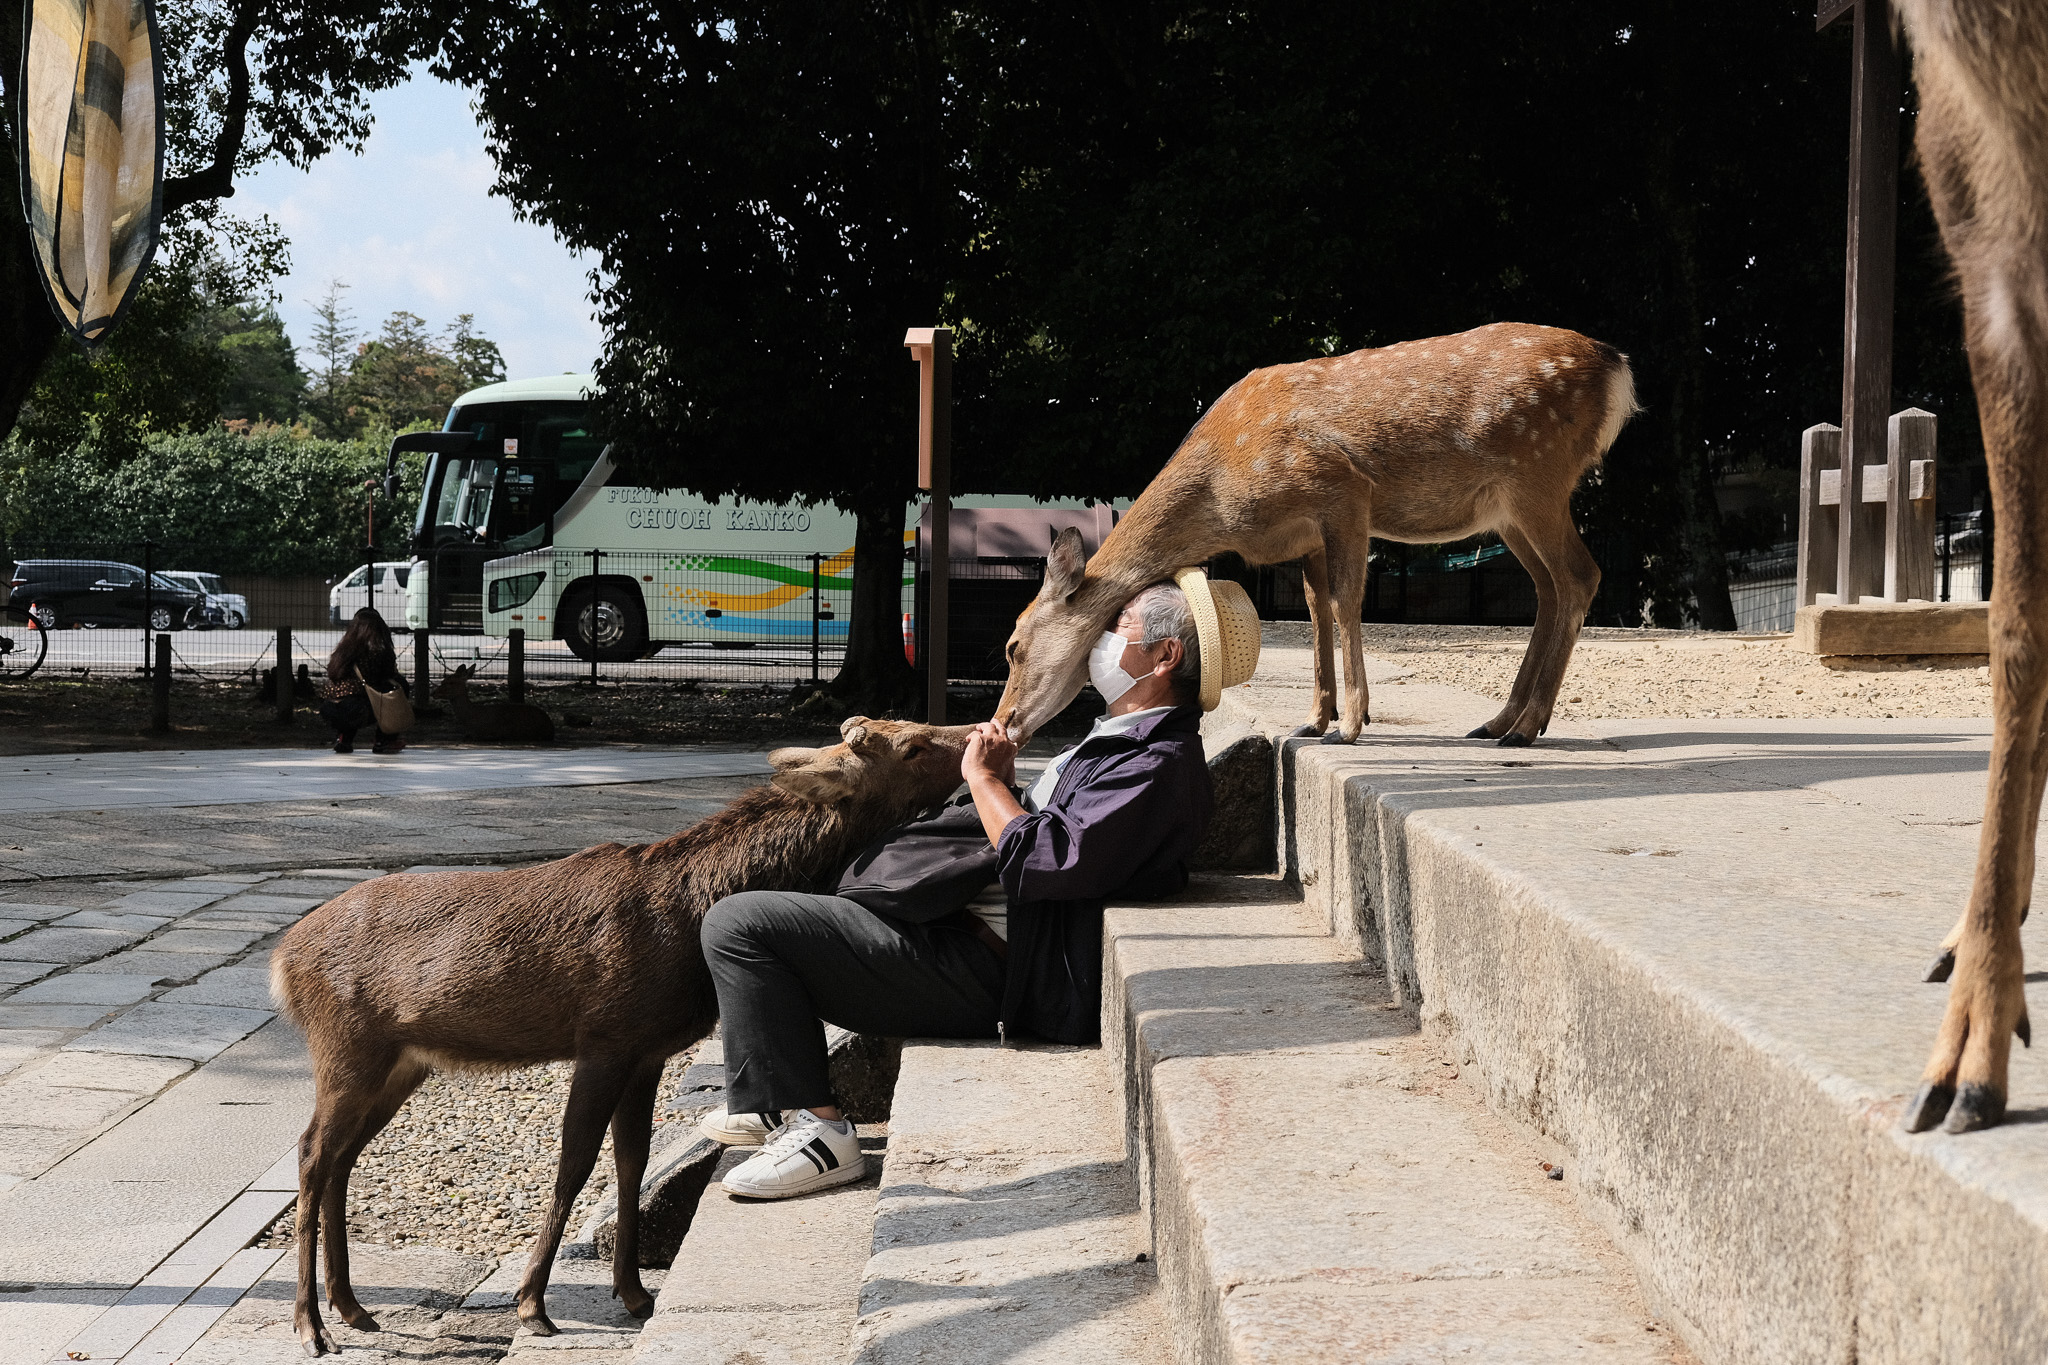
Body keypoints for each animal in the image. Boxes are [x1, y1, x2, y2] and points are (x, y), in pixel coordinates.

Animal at [270, 715, 974, 1355]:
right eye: (910, 746)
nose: (978, 733)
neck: (689, 921)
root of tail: (282, 961)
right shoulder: (606, 1035)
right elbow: (575, 1162)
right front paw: (533, 1305)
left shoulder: (648, 1050)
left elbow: (630, 1161)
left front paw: (634, 1294)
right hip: (346, 1045)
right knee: (310, 1153)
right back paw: (310, 1325)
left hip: (400, 1063)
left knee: (340, 1158)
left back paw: (353, 1308)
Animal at [994, 322, 1637, 749]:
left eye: (1014, 645)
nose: (1005, 723)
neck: (1223, 492)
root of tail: (1618, 368)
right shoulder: (1303, 537)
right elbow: (1314, 609)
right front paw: (1316, 718)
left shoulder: (1341, 490)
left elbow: (1346, 600)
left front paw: (1351, 724)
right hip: (1509, 509)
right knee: (1548, 588)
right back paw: (1499, 721)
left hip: (1537, 475)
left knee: (1581, 575)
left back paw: (1525, 729)